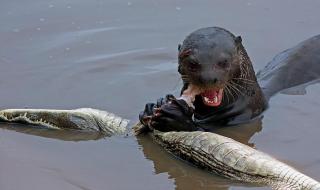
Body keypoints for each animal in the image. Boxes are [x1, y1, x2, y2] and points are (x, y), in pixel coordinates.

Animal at [139, 26, 320, 132]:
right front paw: (152, 106)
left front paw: (176, 117)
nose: (208, 78)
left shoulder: (243, 115)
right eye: (192, 63)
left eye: (224, 61)